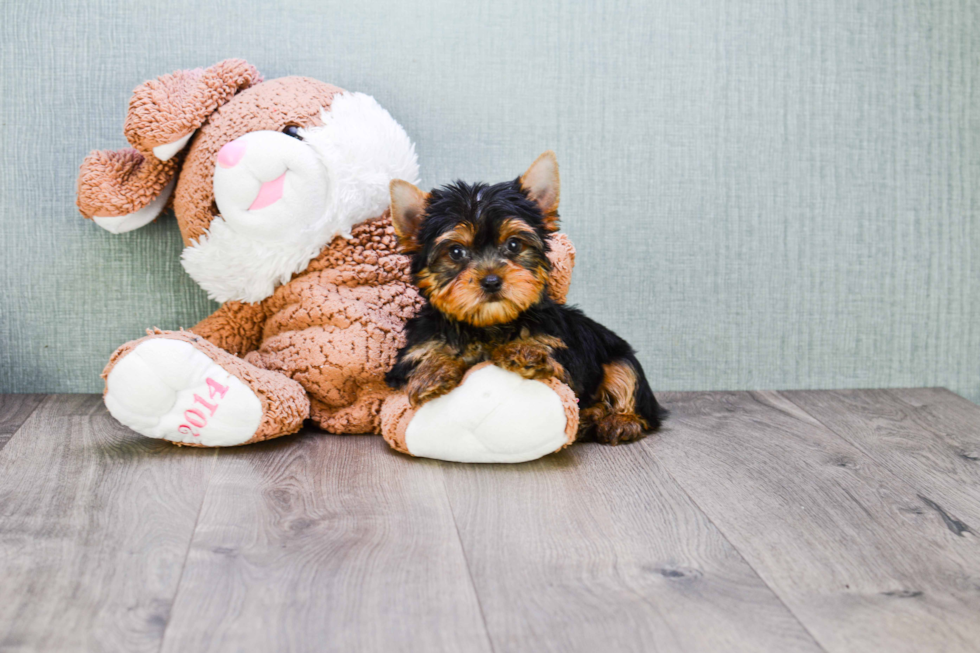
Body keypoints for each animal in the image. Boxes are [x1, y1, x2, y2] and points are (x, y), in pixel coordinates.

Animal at [386, 152, 664, 444]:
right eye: (455, 251)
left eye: (514, 244)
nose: (492, 280)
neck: (488, 325)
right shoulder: (414, 352)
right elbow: (424, 358)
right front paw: (433, 371)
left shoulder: (564, 355)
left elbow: (556, 366)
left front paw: (524, 350)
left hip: (618, 355)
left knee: (629, 382)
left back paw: (618, 420)